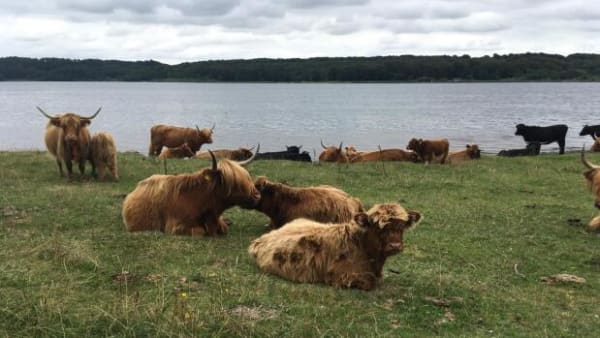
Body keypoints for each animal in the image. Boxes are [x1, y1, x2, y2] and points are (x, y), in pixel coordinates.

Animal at [248, 202, 422, 292]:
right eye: (377, 226)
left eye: (402, 226)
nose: (395, 245)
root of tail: (262, 238)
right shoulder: (345, 276)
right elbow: (370, 282)